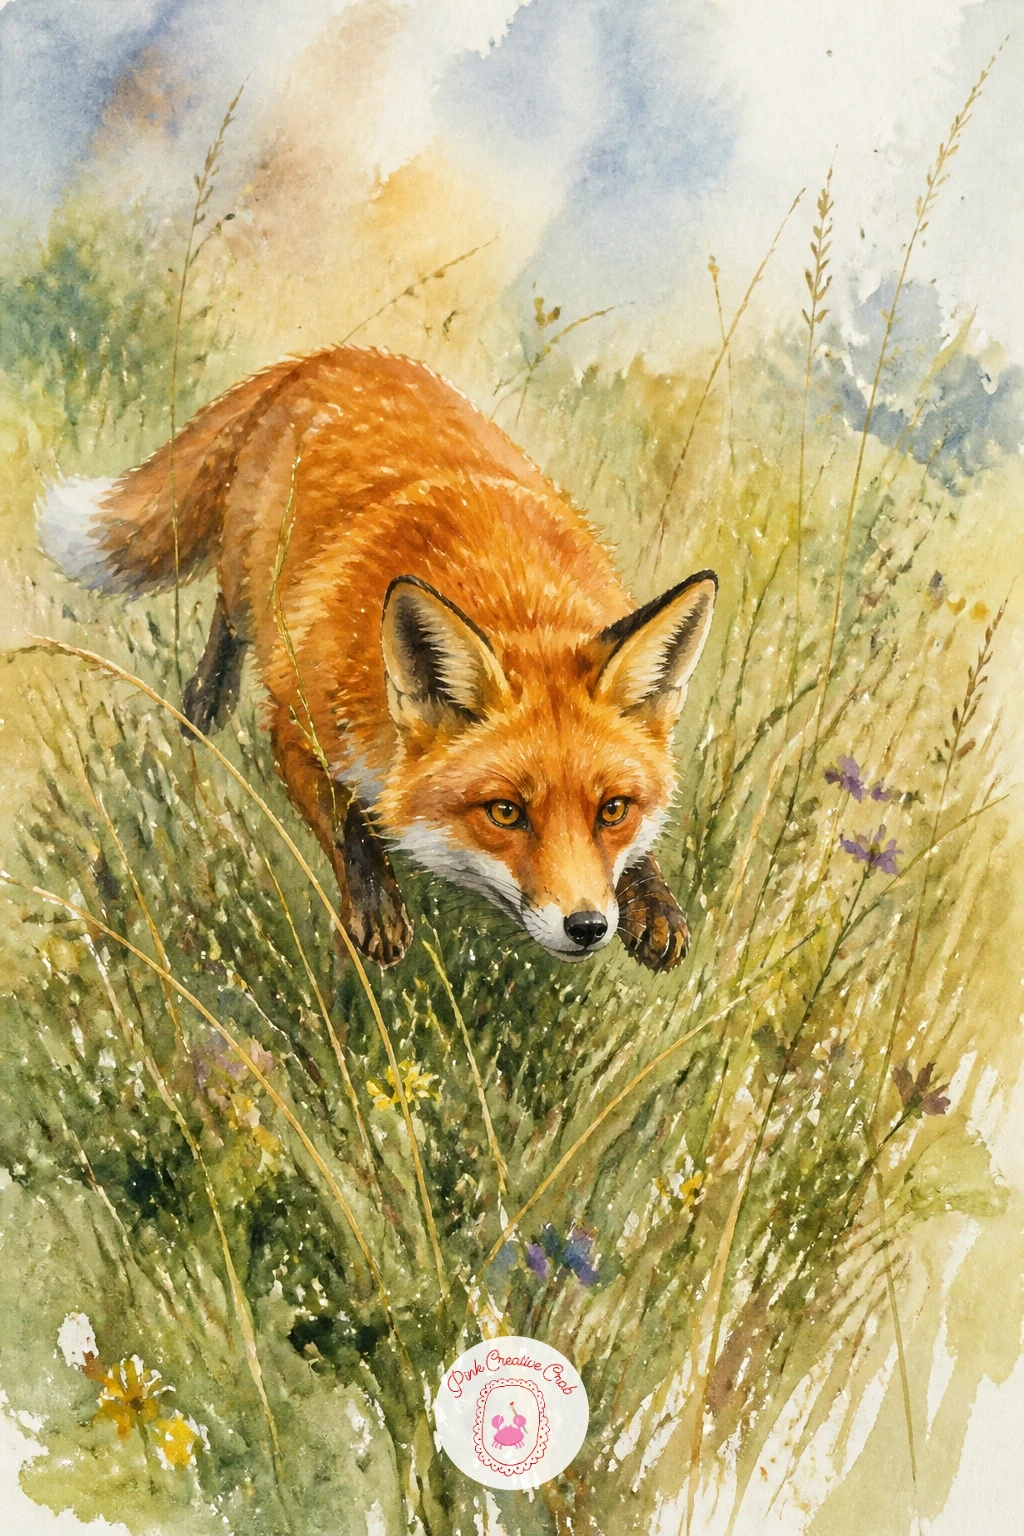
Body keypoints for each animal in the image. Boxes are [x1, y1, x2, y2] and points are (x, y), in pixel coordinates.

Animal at [39, 346, 717, 972]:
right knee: (227, 614)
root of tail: (326, 355)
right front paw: (376, 910)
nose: (587, 927)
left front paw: (653, 903)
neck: (512, 597)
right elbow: (348, 827)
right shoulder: (295, 723)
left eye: (613, 810)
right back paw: (201, 709)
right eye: (505, 812)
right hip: (249, 573)